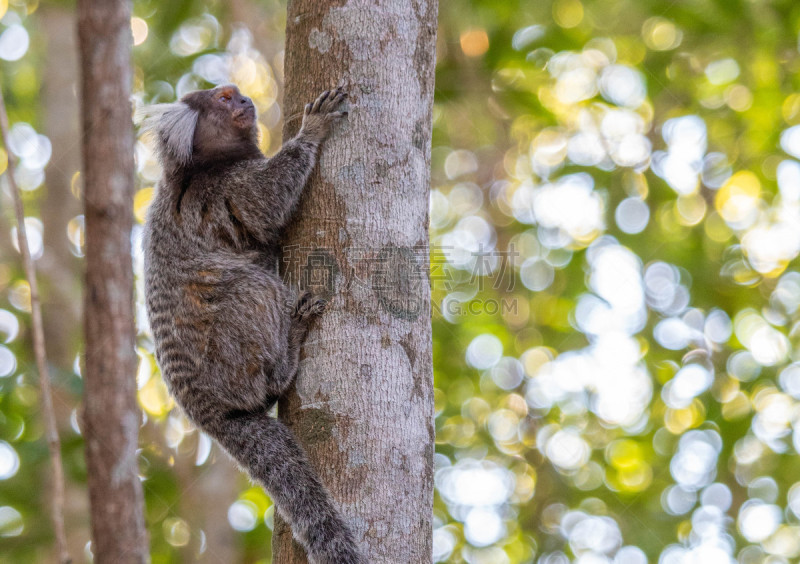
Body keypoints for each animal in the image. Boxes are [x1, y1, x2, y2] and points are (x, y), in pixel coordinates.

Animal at [142, 85, 364, 564]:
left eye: (236, 94)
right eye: (225, 98)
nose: (244, 100)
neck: (201, 166)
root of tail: (208, 410)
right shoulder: (228, 187)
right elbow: (267, 202)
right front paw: (310, 131)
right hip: (229, 360)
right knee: (249, 285)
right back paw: (287, 353)